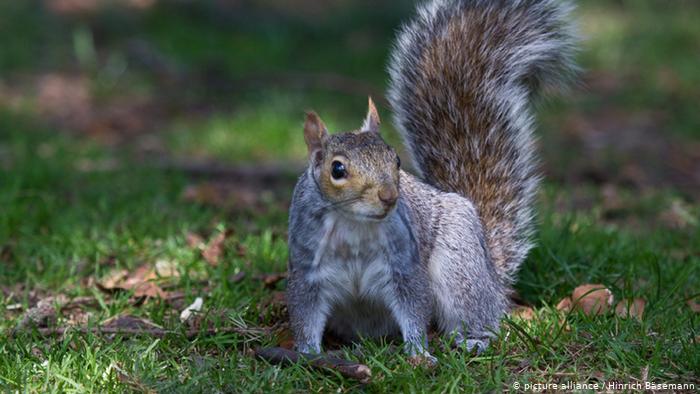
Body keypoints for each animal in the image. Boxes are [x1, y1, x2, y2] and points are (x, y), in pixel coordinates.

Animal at [284, 0, 576, 364]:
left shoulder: (405, 269)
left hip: (459, 268)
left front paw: (419, 352)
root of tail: (492, 277)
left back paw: (473, 339)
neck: (354, 226)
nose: (388, 195)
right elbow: (305, 314)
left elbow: (413, 309)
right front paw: (307, 353)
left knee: (478, 314)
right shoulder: (308, 271)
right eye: (337, 170)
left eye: (395, 160)